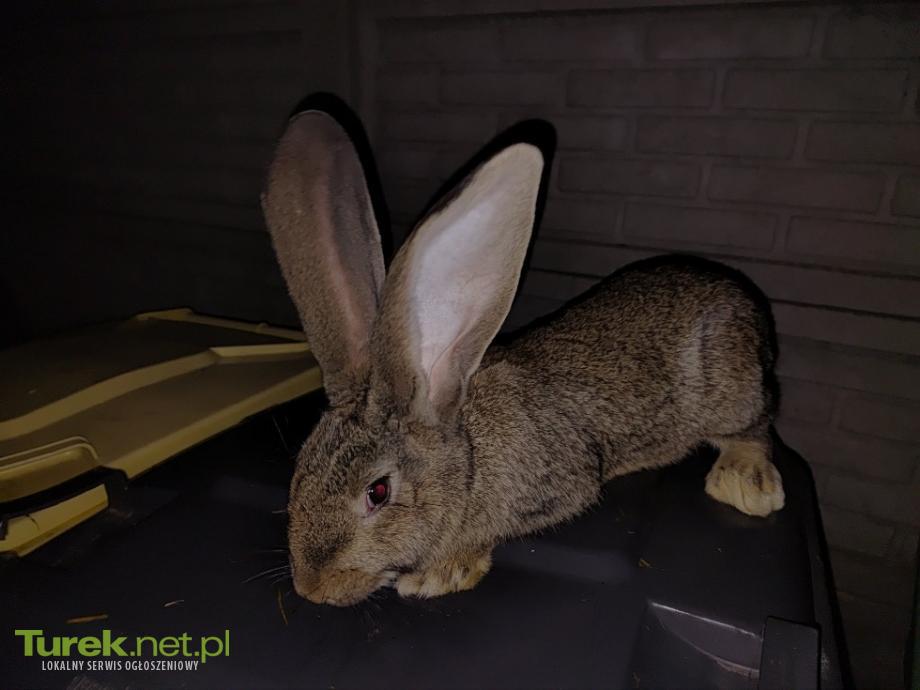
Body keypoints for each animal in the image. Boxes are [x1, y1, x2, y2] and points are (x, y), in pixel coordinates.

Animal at [262, 101, 784, 607]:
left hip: (732, 389)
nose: (311, 589)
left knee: (757, 424)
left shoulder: (562, 483)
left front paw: (441, 571)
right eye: (301, 464)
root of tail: (746, 303)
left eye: (378, 492)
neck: (470, 463)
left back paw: (745, 482)